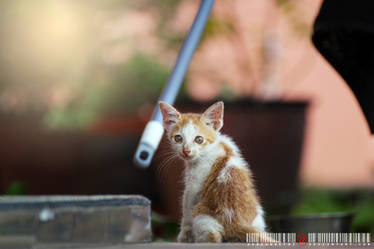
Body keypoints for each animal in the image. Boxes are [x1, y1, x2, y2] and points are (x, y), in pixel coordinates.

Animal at [159, 100, 268, 242]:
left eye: (199, 139)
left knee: (214, 236)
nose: (186, 151)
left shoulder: (193, 187)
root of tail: (237, 224)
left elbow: (186, 207)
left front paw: (184, 236)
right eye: (178, 138)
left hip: (201, 215)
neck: (211, 148)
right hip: (258, 217)